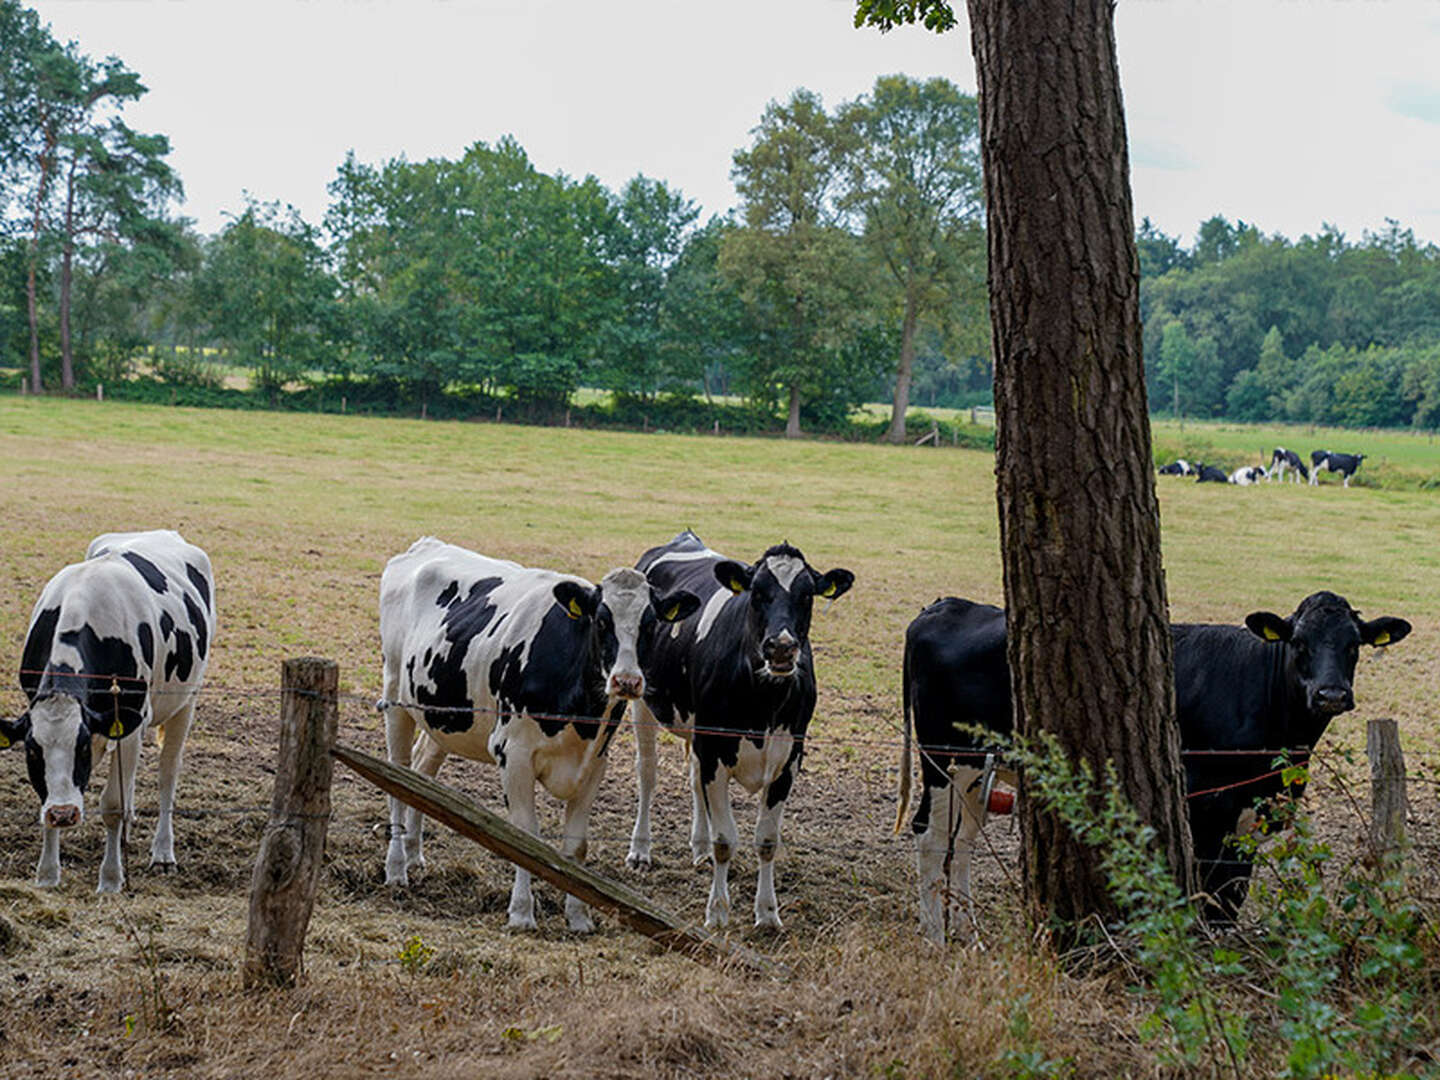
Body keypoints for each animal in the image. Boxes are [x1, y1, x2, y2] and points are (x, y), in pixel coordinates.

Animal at [2, 532, 216, 898]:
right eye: (31, 751)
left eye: (81, 748)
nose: (63, 815)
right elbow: (48, 791)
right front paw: (47, 873)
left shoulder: (130, 722)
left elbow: (113, 804)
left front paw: (112, 878)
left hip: (185, 702)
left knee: (167, 774)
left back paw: (163, 852)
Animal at [380, 541, 699, 938]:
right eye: (601, 621)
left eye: (650, 624)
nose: (627, 681)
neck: (580, 714)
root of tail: (425, 544)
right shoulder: (513, 754)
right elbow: (525, 837)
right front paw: (521, 913)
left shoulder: (595, 763)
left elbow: (576, 846)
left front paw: (578, 916)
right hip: (396, 701)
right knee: (397, 777)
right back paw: (396, 868)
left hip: (443, 718)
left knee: (421, 774)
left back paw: (413, 853)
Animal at [630, 532, 852, 933]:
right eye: (757, 593)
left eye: (807, 595)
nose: (781, 647)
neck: (765, 702)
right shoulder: (717, 753)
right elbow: (725, 840)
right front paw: (717, 912)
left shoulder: (788, 761)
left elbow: (766, 840)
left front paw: (767, 914)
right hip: (642, 698)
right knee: (648, 772)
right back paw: (640, 849)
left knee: (693, 779)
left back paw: (699, 848)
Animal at [898, 596, 1405, 944]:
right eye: (1298, 643)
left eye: (1354, 646)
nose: (1331, 694)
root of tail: (943, 607)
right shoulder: (1209, 806)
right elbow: (1214, 887)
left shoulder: (1251, 809)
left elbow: (1235, 889)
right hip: (943, 758)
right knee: (930, 836)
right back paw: (936, 938)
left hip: (976, 770)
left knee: (963, 840)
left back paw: (969, 933)